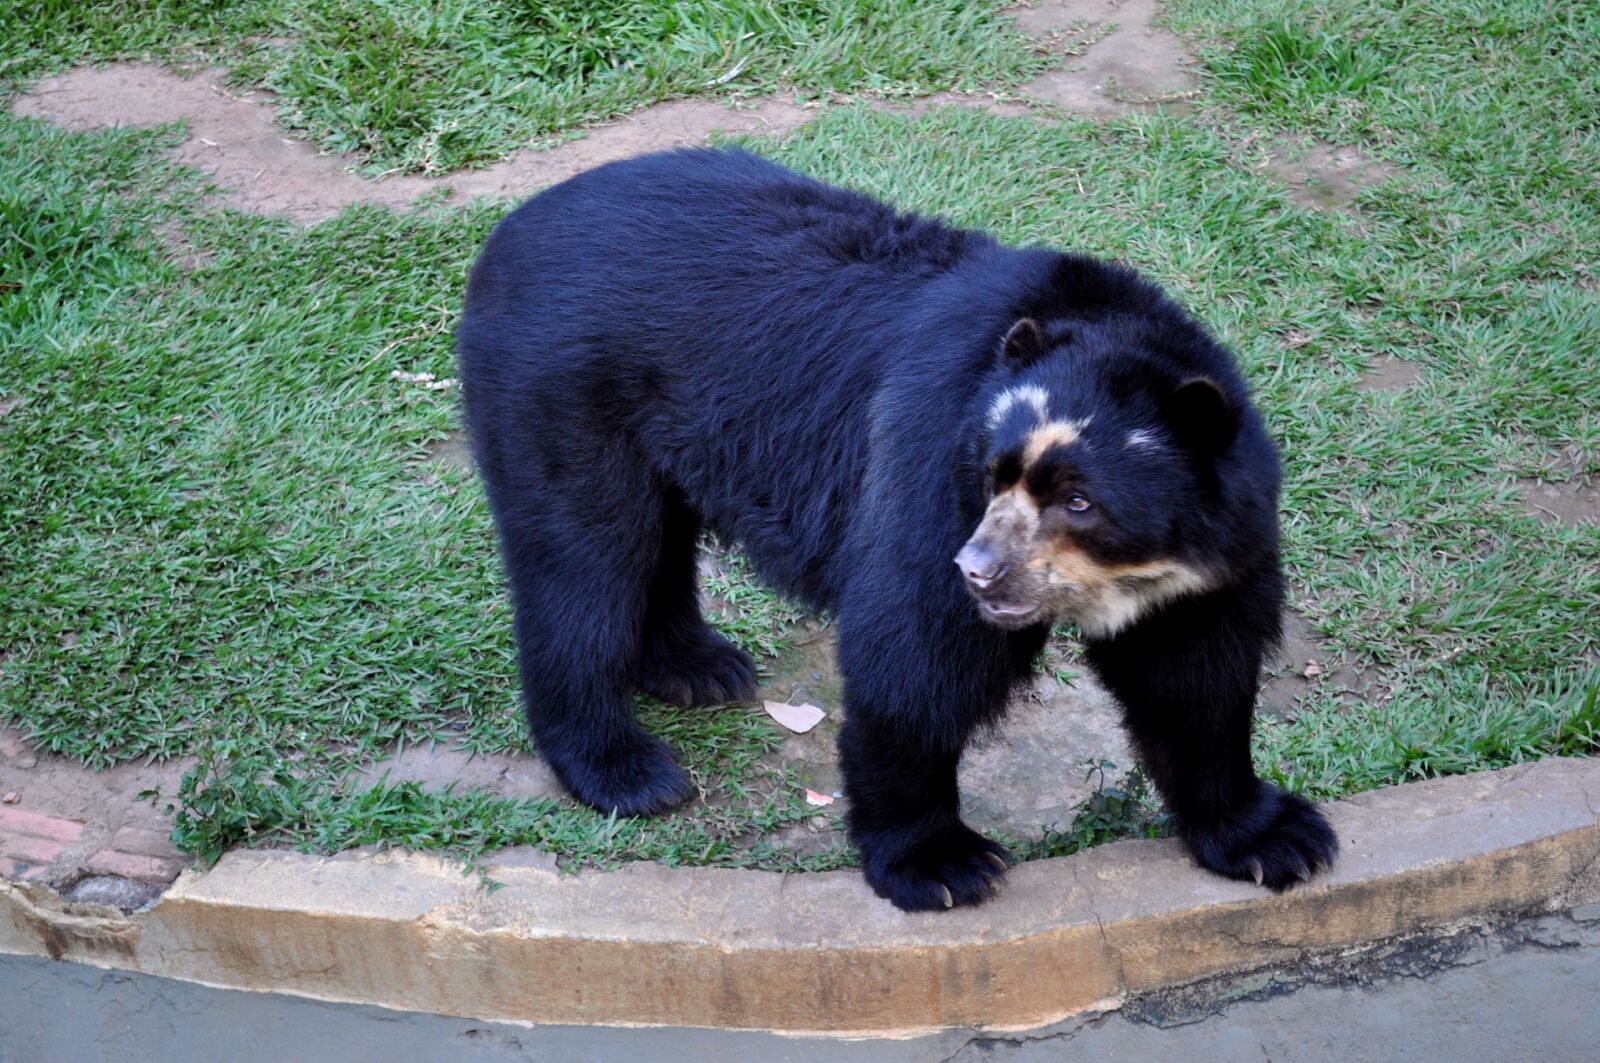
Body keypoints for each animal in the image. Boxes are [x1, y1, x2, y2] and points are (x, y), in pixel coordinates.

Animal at [456, 147, 1337, 911]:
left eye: (1080, 500)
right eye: (994, 474)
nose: (979, 567)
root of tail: (511, 227)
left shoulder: (1209, 562)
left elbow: (1198, 681)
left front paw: (1275, 837)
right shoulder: (928, 464)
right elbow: (912, 650)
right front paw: (940, 864)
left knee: (655, 545)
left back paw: (697, 667)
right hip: (559, 395)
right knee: (585, 562)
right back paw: (625, 769)